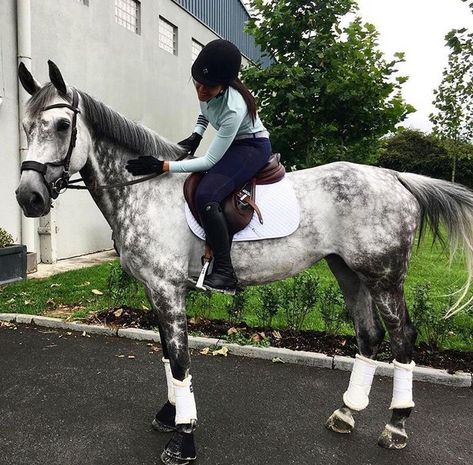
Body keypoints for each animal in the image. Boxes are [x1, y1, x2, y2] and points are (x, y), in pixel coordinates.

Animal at [14, 62, 472, 464]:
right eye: (26, 126)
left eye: (63, 126)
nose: (28, 197)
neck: (146, 189)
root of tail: (395, 177)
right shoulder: (153, 290)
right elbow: (167, 357)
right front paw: (171, 415)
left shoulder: (167, 290)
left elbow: (179, 360)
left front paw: (183, 438)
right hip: (348, 272)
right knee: (369, 336)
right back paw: (346, 413)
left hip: (384, 277)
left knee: (403, 338)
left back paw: (396, 426)